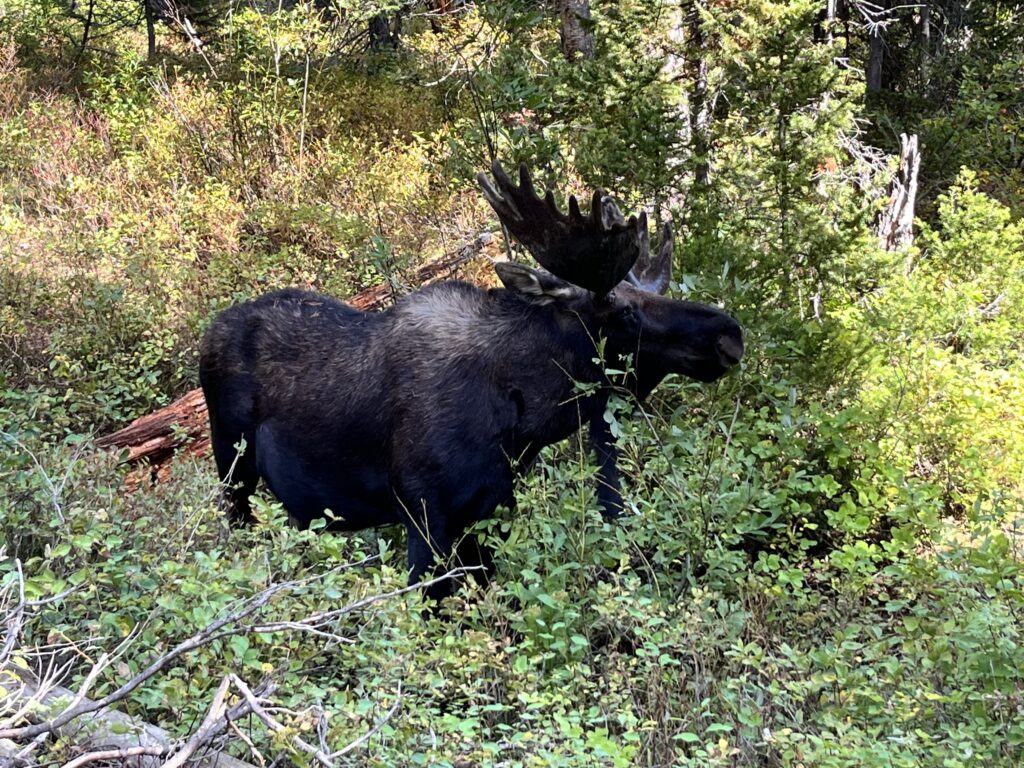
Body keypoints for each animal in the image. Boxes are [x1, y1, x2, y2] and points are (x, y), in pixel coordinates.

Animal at [199, 165, 745, 606]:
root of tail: (209, 330)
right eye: (624, 312)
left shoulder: (491, 507)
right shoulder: (422, 512)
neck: (521, 419)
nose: (730, 337)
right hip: (232, 463)